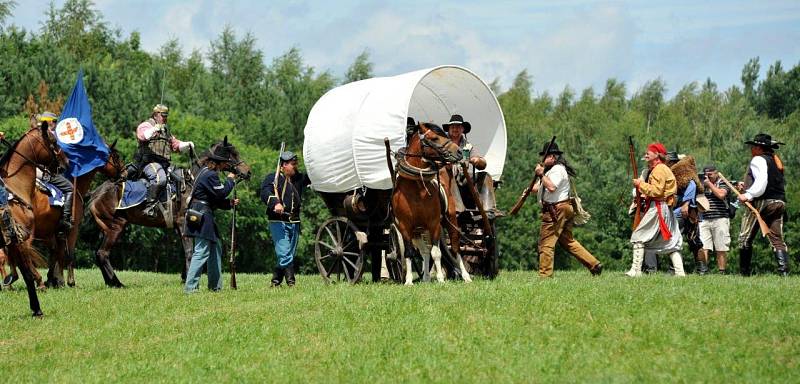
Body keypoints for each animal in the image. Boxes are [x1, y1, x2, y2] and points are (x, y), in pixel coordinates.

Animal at [0, 124, 69, 316]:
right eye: (53, 141)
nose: (66, 163)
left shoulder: (13, 243)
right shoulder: (21, 240)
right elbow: (27, 273)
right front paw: (37, 309)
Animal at [88, 140, 252, 286]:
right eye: (232, 154)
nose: (248, 172)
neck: (192, 181)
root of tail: (96, 193)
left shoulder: (183, 227)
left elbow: (188, 250)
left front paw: (185, 277)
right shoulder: (183, 222)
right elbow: (189, 251)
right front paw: (189, 279)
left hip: (107, 229)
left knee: (98, 253)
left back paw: (110, 282)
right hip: (116, 227)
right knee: (103, 253)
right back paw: (117, 283)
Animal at [390, 123, 472, 284]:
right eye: (434, 138)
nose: (459, 152)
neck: (417, 187)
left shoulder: (434, 223)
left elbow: (437, 252)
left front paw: (440, 279)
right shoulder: (404, 226)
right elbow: (409, 252)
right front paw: (408, 281)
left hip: (450, 221)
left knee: (455, 248)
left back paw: (466, 276)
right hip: (418, 231)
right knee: (424, 251)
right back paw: (426, 278)